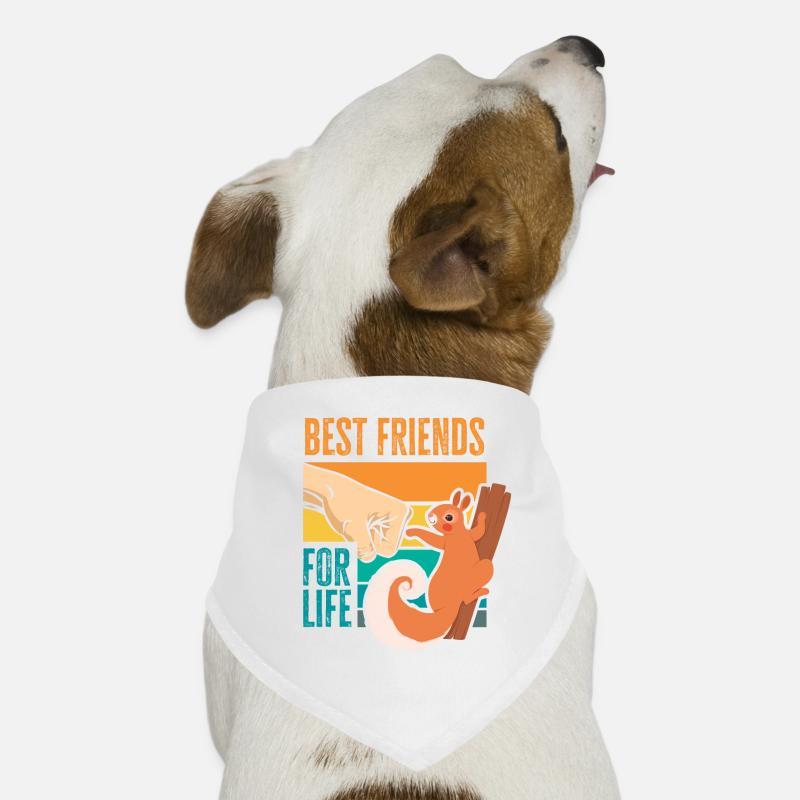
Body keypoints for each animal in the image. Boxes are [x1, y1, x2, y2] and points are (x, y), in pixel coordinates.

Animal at [363, 489, 493, 646]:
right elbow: (477, 532)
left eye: (449, 516)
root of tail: (446, 607)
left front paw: (482, 516)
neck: (455, 534)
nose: (430, 516)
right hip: (474, 576)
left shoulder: (466, 535)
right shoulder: (453, 538)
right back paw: (478, 593)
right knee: (475, 584)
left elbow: (478, 532)